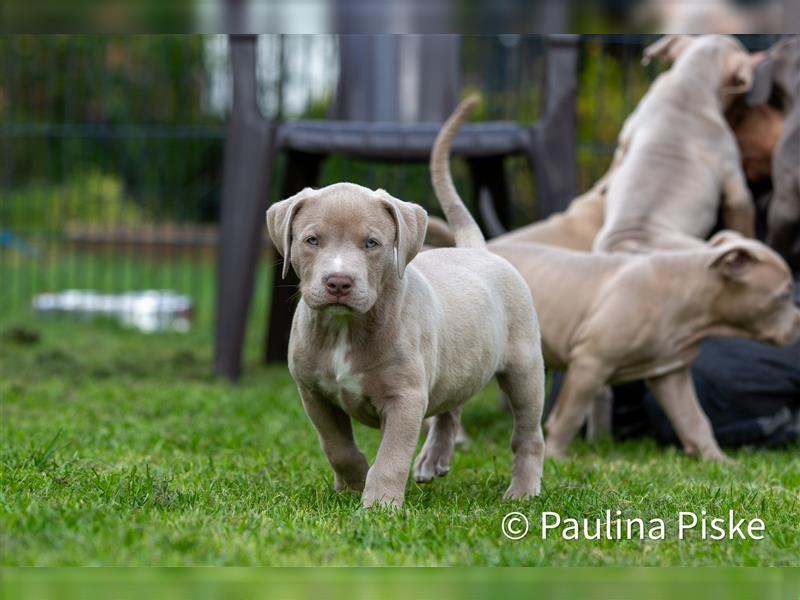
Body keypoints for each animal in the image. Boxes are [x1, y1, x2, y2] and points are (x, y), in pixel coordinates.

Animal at [266, 96, 548, 508]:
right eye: (311, 240)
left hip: (524, 368)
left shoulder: (406, 398)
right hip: (456, 360)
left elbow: (391, 456)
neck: (345, 328)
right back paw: (435, 457)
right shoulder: (314, 393)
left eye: (372, 243)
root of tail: (477, 249)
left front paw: (379, 504)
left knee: (528, 434)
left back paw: (523, 491)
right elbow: (336, 446)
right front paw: (353, 480)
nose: (338, 282)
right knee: (451, 405)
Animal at [596, 35, 760, 253]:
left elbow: (616, 160)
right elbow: (744, 218)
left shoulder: (627, 135)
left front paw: (603, 184)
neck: (690, 81)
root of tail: (627, 244)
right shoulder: (734, 182)